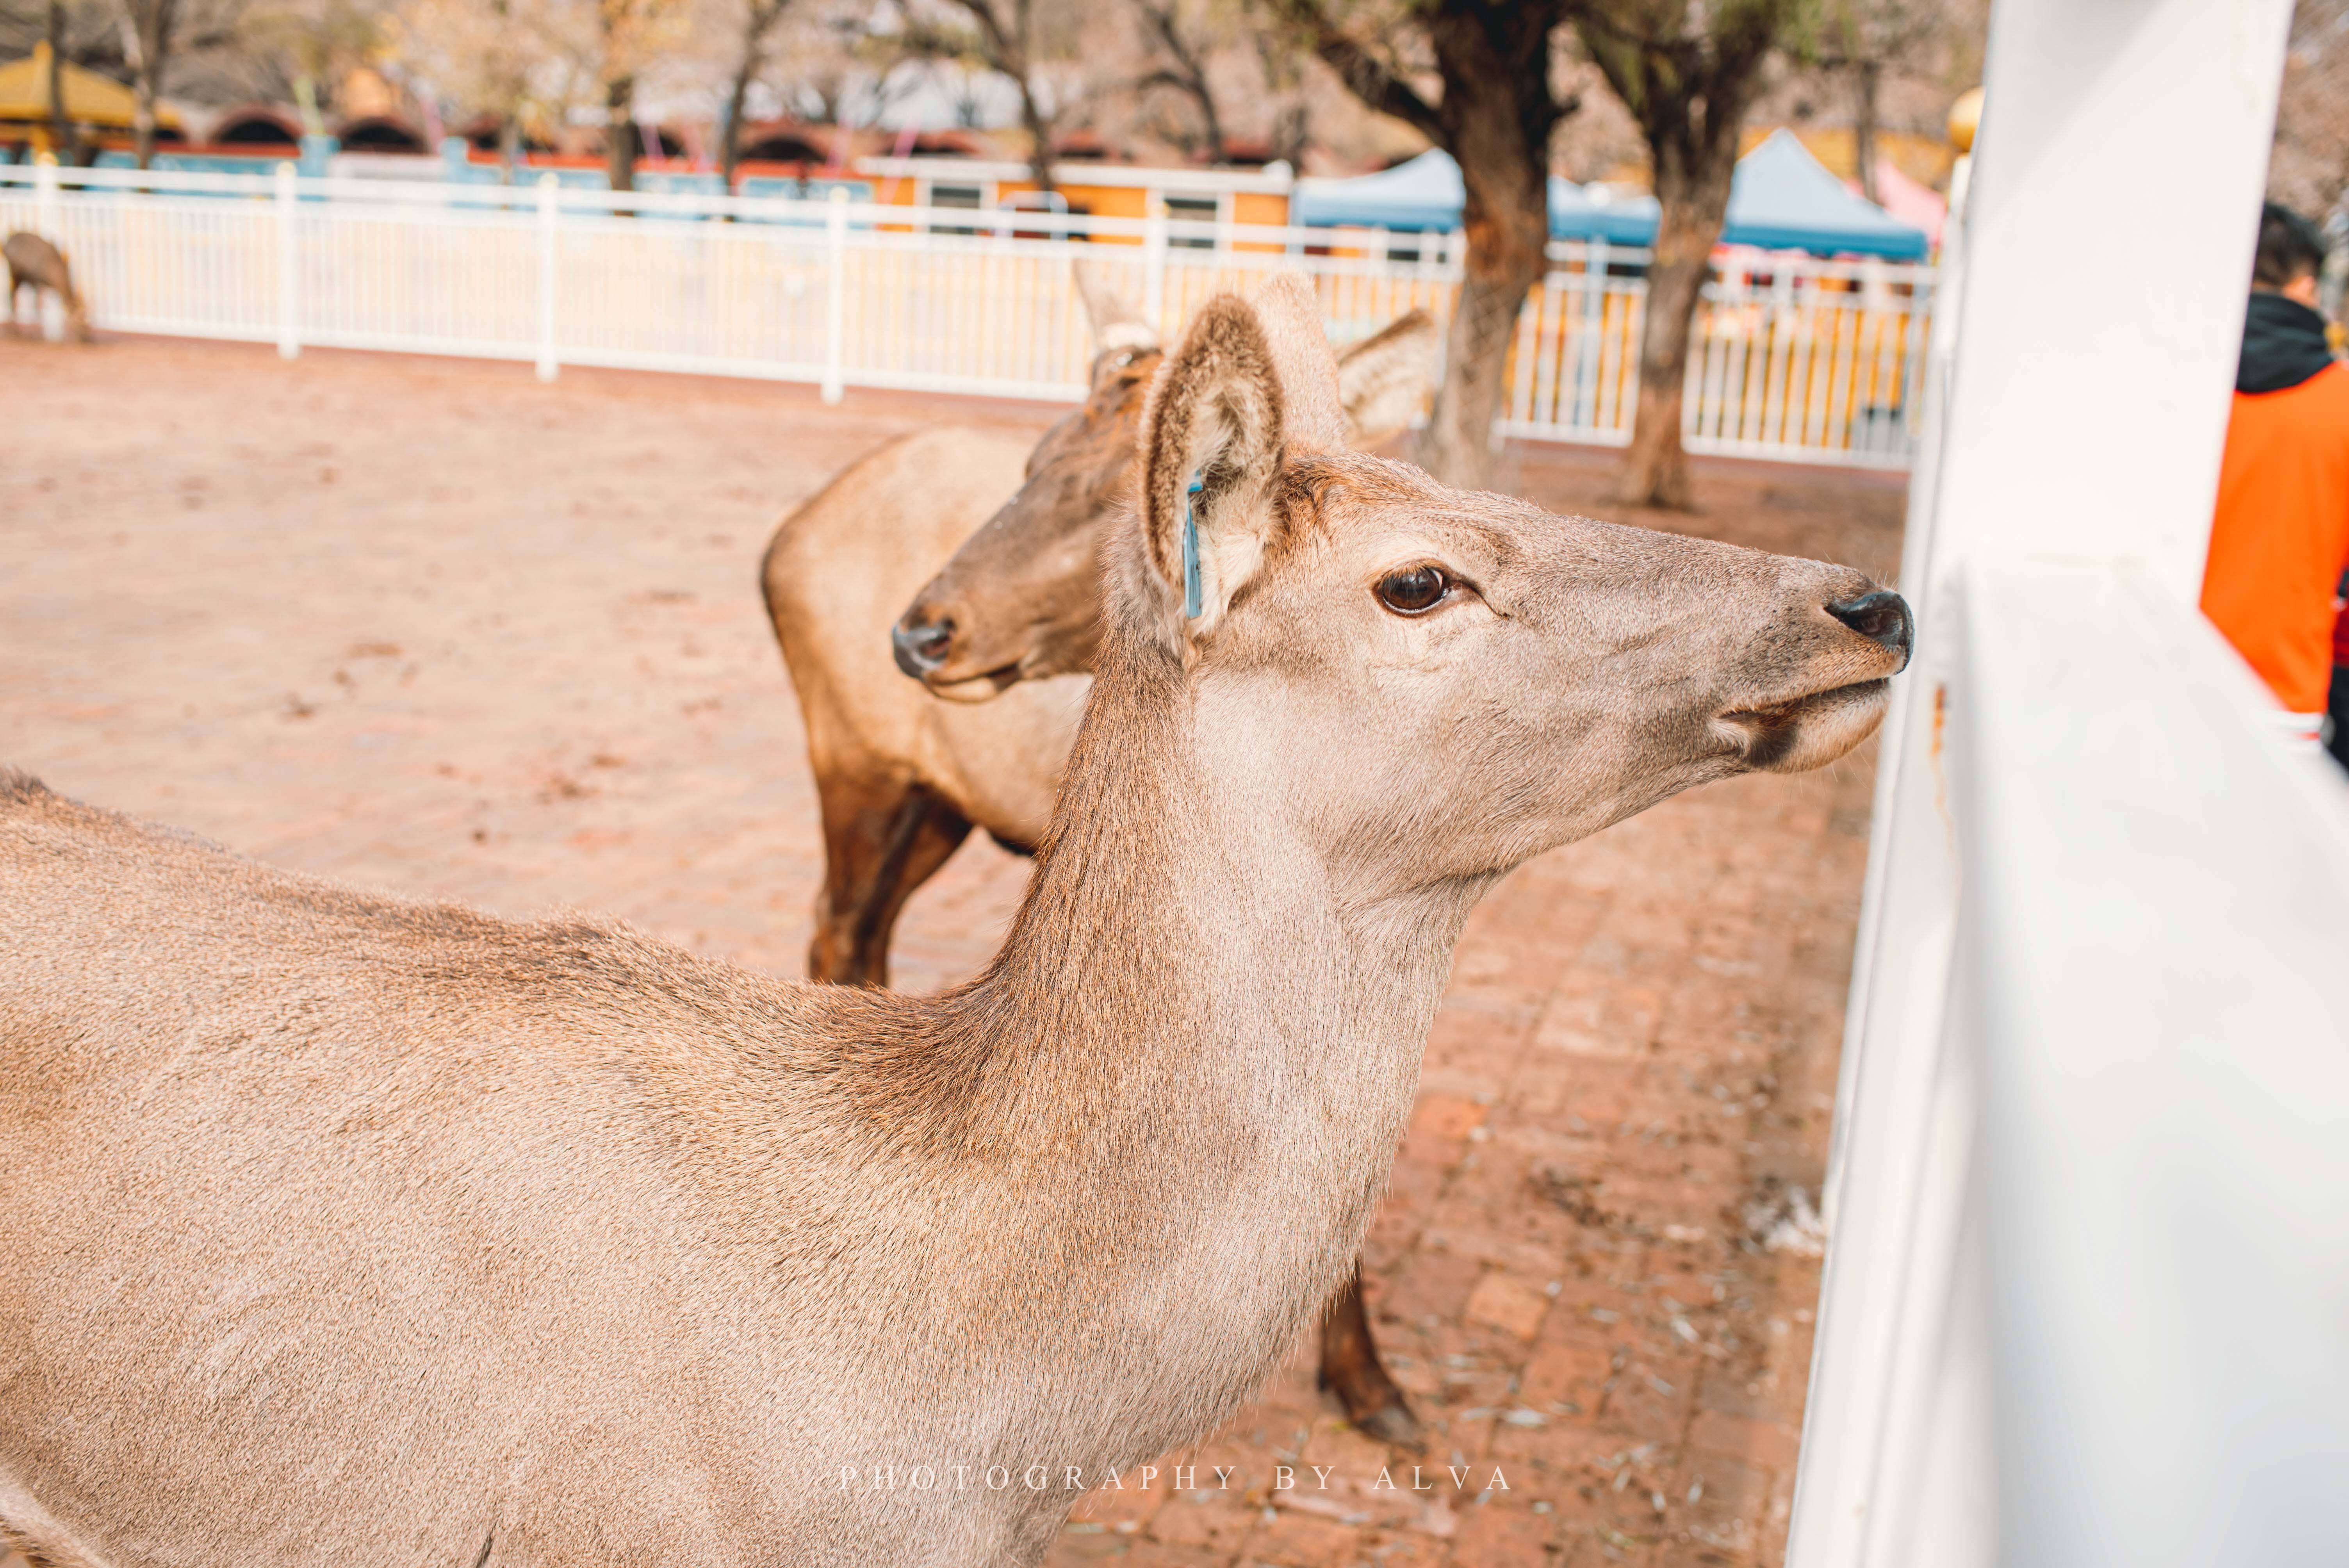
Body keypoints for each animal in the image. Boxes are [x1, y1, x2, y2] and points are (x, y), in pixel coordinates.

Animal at [2, 230, 92, 342]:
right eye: (80, 323)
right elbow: (39, 306)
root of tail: (7, 244)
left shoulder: (49, 288)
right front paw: (41, 334)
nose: (87, 337)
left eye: (86, 319)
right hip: (16, 273)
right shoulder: (37, 283)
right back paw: (15, 329)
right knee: (12, 296)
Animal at [761, 265, 1437, 991]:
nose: (920, 637)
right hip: (855, 758)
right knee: (838, 929)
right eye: (1037, 456)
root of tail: (781, 543)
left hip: (940, 799)